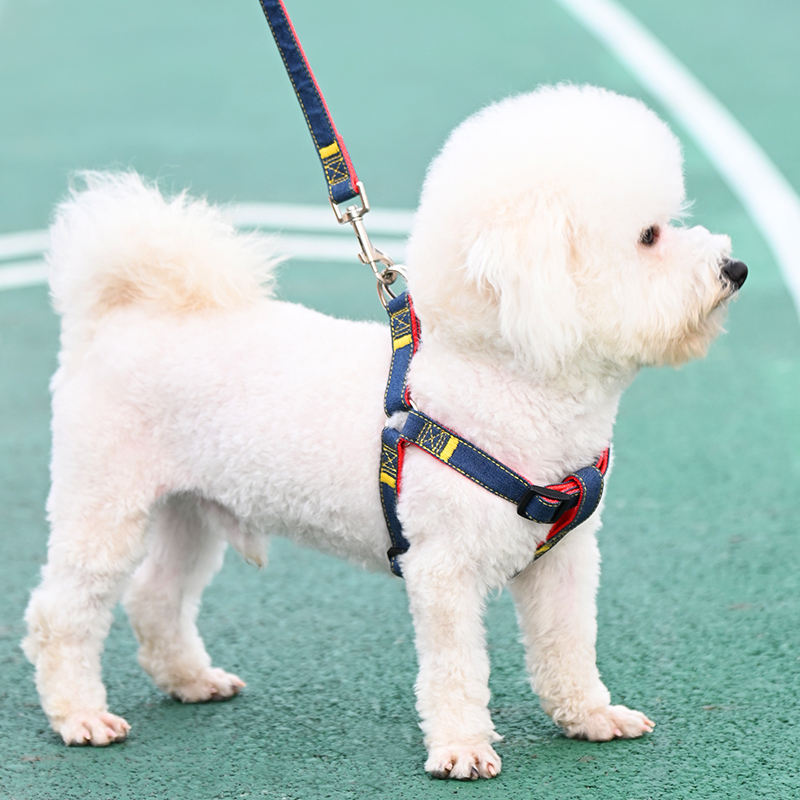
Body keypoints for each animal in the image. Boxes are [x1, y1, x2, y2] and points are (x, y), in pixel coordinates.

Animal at [20, 84, 744, 780]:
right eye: (649, 236)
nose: (734, 270)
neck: (499, 379)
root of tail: (118, 315)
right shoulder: (443, 570)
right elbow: (456, 669)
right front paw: (461, 749)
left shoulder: (563, 560)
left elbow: (568, 644)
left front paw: (590, 717)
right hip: (104, 501)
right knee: (62, 613)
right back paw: (79, 716)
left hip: (190, 506)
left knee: (155, 594)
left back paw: (190, 680)